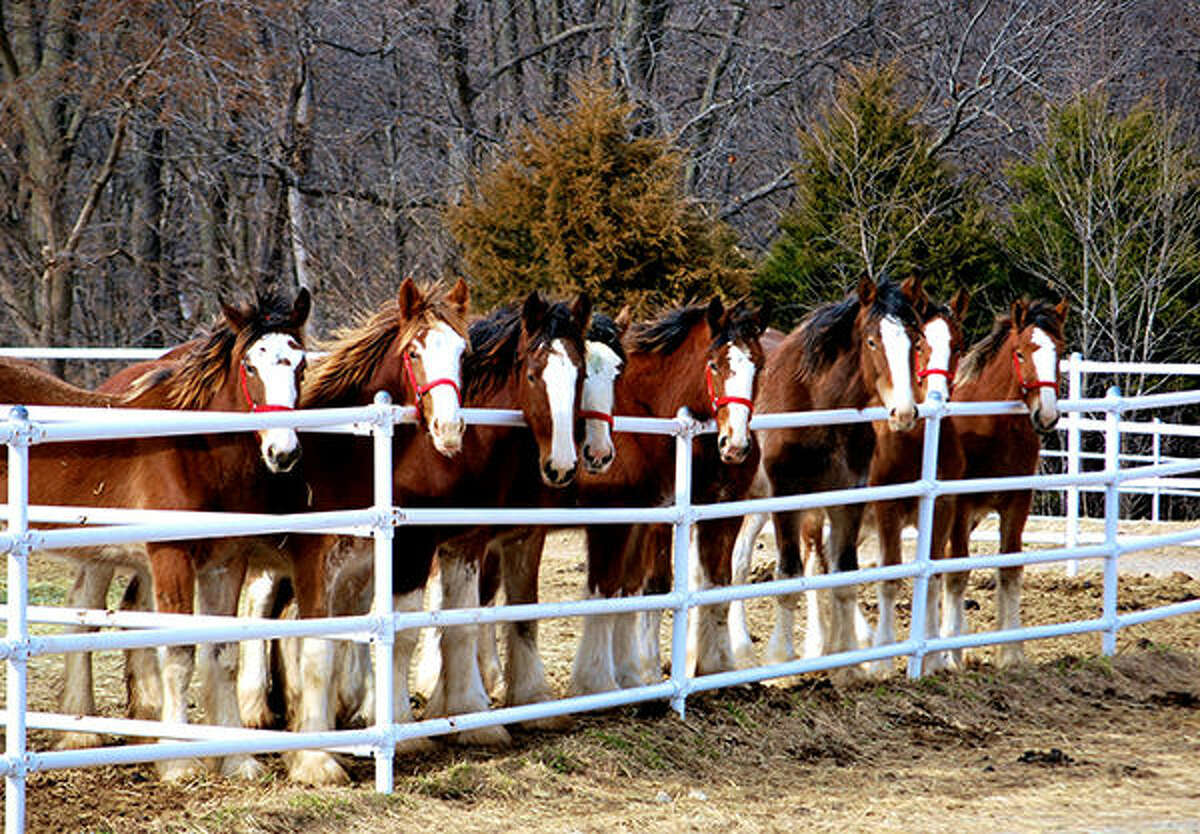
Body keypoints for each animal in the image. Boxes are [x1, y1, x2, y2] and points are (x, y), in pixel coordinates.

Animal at [0, 289, 314, 782]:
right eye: (250, 365)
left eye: (300, 365)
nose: (282, 453)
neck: (193, 450)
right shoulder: (170, 558)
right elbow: (180, 655)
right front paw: (178, 762)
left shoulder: (227, 561)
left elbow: (222, 654)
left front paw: (237, 760)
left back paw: (80, 734)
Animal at [758, 277, 916, 676]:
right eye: (873, 341)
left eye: (915, 338)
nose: (905, 412)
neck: (816, 402)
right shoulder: (786, 497)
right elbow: (789, 574)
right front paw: (780, 662)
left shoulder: (848, 499)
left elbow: (844, 574)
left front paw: (848, 665)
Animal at [945, 296, 1070, 667]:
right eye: (1020, 353)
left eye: (1059, 351)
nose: (1046, 415)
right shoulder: (961, 506)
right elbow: (957, 573)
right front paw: (952, 657)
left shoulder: (1017, 503)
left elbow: (1010, 570)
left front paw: (1011, 654)